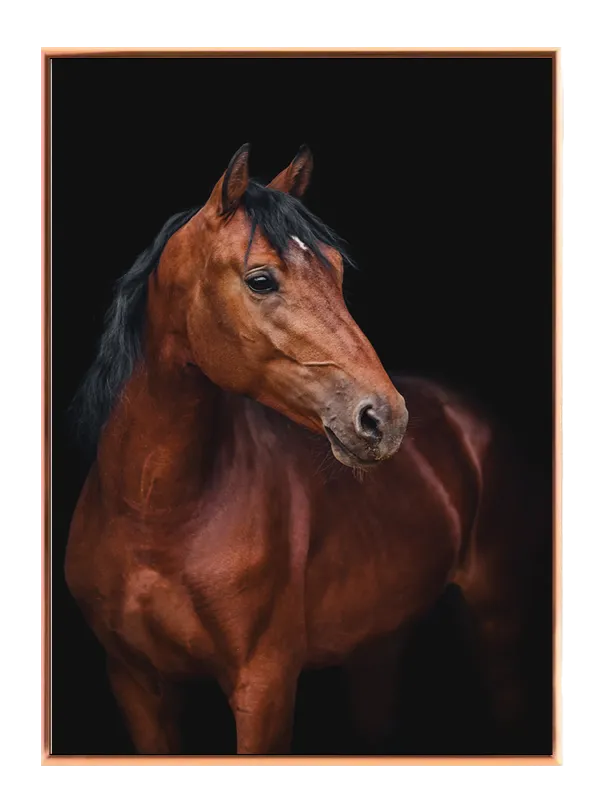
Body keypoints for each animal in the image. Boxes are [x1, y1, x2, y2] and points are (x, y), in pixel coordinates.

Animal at [65, 144, 552, 756]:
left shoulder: (264, 687)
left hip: (496, 621)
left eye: (337, 272)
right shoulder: (135, 683)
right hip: (378, 641)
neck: (157, 517)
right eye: (260, 280)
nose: (384, 419)